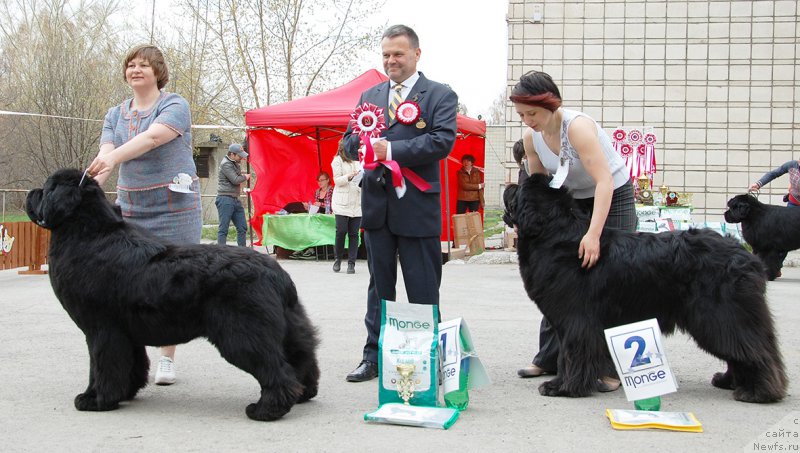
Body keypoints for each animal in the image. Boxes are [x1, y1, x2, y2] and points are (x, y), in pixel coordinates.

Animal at [25, 169, 318, 420]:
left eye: (47, 189)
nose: (32, 192)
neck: (88, 234)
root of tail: (276, 273)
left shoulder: (101, 329)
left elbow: (100, 366)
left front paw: (95, 399)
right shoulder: (126, 332)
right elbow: (131, 364)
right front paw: (125, 393)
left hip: (243, 332)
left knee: (276, 370)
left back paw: (266, 409)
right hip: (289, 326)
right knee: (302, 356)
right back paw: (303, 394)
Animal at [506, 175, 788, 400]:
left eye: (519, 188)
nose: (509, 185)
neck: (554, 234)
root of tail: (746, 256)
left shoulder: (576, 321)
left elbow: (570, 355)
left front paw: (563, 387)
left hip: (721, 315)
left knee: (752, 350)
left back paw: (757, 392)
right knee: (741, 350)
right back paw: (729, 382)